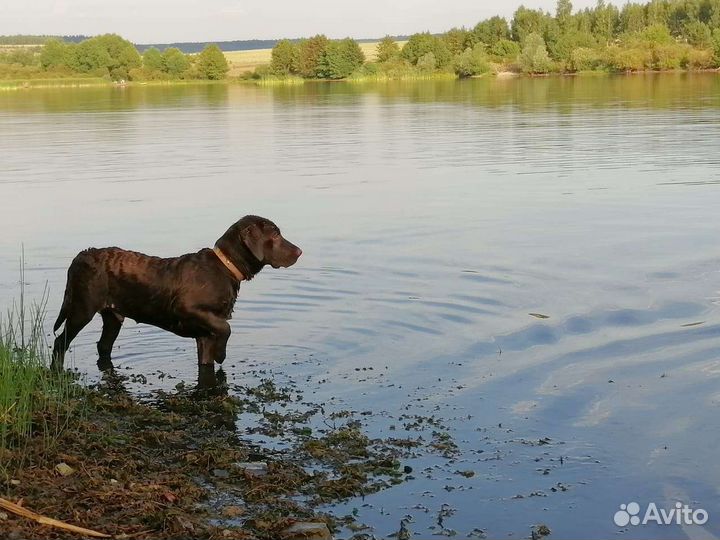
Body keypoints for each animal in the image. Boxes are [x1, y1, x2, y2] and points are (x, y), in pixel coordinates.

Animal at [51, 216, 300, 372]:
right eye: (275, 235)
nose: (299, 251)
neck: (225, 266)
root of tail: (80, 256)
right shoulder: (186, 308)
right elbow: (225, 327)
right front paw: (222, 354)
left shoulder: (204, 335)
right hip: (81, 308)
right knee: (60, 342)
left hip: (113, 316)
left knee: (103, 346)